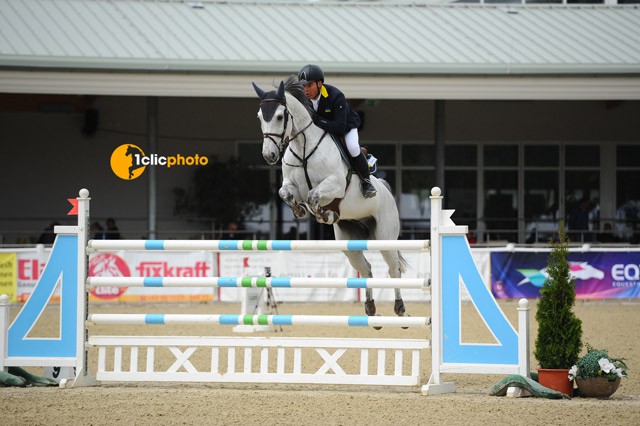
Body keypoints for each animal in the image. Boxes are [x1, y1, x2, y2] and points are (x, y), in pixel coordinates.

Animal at [252, 76, 408, 320]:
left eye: (279, 116)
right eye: (260, 117)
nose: (269, 155)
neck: (303, 147)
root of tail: (384, 189)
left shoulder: (335, 185)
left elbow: (313, 195)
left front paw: (322, 213)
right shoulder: (290, 185)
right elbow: (285, 193)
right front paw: (301, 210)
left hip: (385, 235)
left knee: (394, 269)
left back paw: (399, 307)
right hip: (349, 241)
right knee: (366, 269)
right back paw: (370, 308)